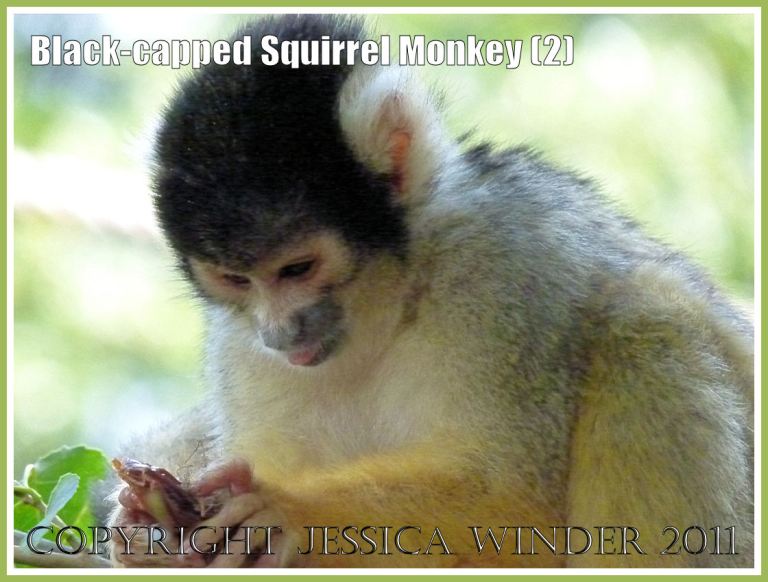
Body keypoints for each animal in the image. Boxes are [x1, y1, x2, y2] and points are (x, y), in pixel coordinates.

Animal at [107, 14, 754, 568]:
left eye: (297, 269)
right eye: (236, 280)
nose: (278, 332)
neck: (392, 299)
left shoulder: (500, 265)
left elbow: (512, 499)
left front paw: (285, 514)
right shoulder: (238, 344)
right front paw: (148, 535)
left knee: (645, 318)